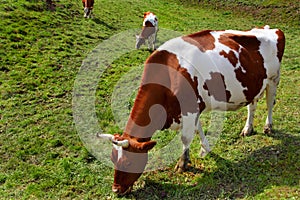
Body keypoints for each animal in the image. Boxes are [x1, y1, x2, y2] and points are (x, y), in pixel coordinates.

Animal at [98, 25, 284, 195]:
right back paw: (247, 129)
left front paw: (182, 164)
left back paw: (268, 127)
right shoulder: (192, 108)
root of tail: (270, 28)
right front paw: (205, 149)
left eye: (128, 163)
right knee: (252, 106)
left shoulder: (189, 109)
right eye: (112, 158)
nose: (116, 190)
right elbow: (198, 129)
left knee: (269, 104)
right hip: (255, 85)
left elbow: (186, 138)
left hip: (273, 79)